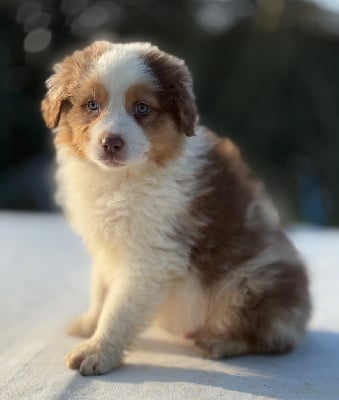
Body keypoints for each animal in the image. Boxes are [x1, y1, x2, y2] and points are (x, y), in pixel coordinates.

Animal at [41, 40, 312, 376]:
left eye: (142, 108)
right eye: (92, 105)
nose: (111, 143)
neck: (120, 181)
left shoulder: (151, 258)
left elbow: (119, 309)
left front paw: (97, 351)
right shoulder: (107, 246)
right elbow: (101, 289)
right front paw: (89, 324)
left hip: (250, 284)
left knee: (273, 339)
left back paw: (218, 342)